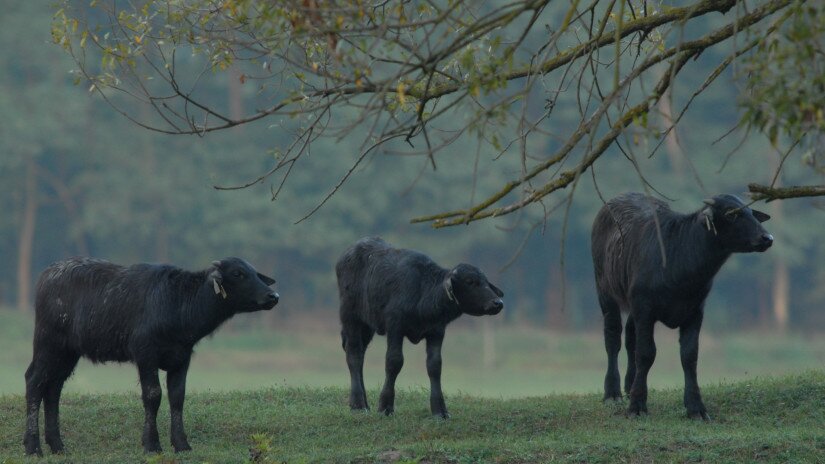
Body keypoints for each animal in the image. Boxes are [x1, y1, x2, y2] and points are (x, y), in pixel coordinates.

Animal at [23, 260, 280, 454]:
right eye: (238, 273)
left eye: (256, 273)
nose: (273, 296)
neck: (178, 304)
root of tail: (47, 275)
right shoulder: (145, 355)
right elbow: (153, 395)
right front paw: (152, 444)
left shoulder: (181, 358)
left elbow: (177, 397)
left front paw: (182, 444)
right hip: (48, 343)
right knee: (34, 381)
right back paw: (33, 447)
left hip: (67, 352)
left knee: (53, 387)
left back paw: (57, 445)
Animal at [334, 237, 502, 418]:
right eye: (470, 281)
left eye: (486, 282)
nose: (497, 303)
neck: (423, 293)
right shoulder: (395, 326)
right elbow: (394, 361)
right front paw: (385, 406)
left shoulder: (437, 331)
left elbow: (435, 365)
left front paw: (440, 410)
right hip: (350, 316)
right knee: (354, 354)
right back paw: (358, 404)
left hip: (367, 326)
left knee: (361, 354)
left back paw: (363, 402)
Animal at [592, 194, 772, 418]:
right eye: (731, 214)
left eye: (751, 212)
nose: (767, 238)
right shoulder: (645, 309)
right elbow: (646, 353)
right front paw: (637, 405)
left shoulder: (695, 312)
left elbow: (689, 356)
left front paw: (696, 407)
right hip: (604, 289)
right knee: (613, 338)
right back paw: (612, 393)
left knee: (630, 336)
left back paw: (629, 384)